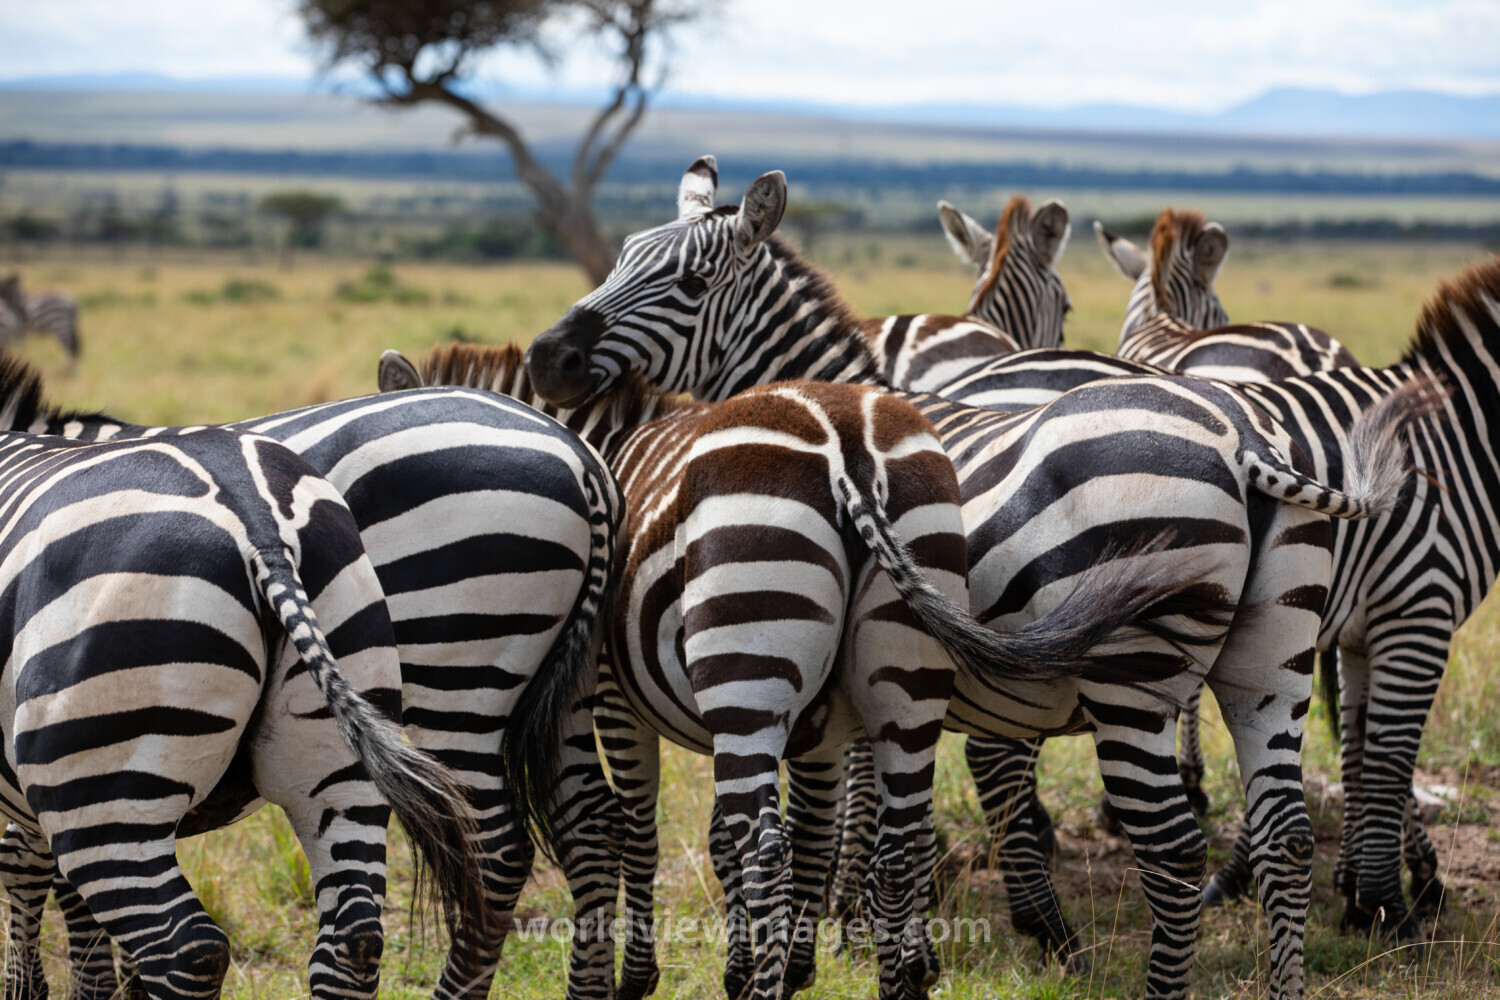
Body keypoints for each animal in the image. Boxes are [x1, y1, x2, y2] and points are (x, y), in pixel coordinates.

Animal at [0, 356, 625, 1000]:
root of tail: (580, 459)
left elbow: (30, 868)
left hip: (455, 671)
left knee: (495, 851)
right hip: (564, 681)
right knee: (590, 825)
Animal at [379, 340, 1196, 1000]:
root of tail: (849, 445)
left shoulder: (614, 699)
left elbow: (648, 829)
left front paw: (647, 977)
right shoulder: (819, 730)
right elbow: (781, 835)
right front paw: (773, 966)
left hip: (751, 664)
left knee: (769, 852)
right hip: (903, 669)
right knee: (898, 847)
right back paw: (902, 983)